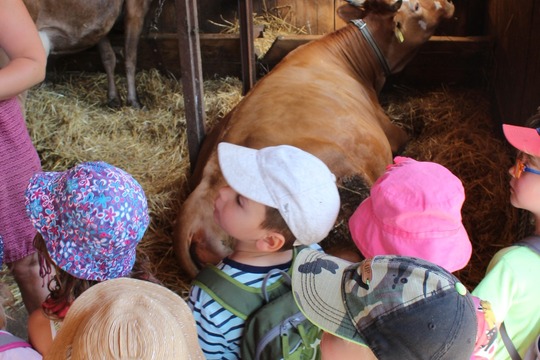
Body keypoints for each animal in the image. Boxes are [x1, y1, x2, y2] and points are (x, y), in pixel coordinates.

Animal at [22, 0, 151, 108]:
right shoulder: (137, 6)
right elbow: (130, 56)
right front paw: (134, 101)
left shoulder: (100, 24)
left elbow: (108, 56)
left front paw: (113, 98)